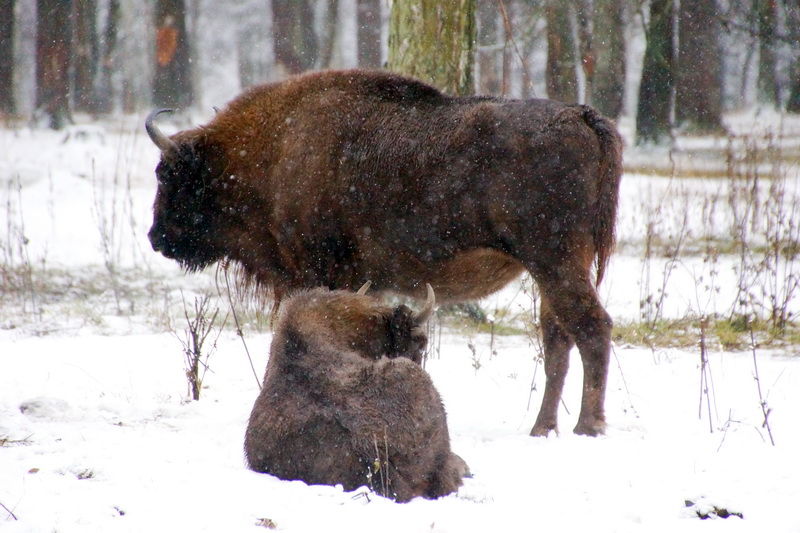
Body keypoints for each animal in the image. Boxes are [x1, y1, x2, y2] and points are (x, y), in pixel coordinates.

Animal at [148, 68, 624, 434]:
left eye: (168, 174)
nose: (156, 238)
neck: (273, 148)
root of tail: (582, 116)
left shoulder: (310, 272)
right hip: (549, 268)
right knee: (558, 337)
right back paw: (543, 427)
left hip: (555, 261)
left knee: (591, 328)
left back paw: (587, 426)